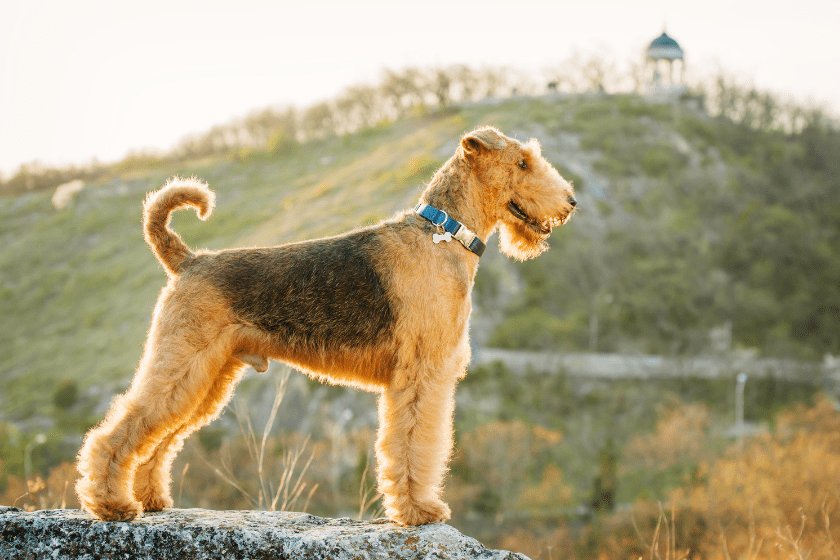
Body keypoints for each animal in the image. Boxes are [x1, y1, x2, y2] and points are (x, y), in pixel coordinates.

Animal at [75, 126, 576, 524]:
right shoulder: (421, 375)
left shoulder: (424, 375)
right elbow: (414, 443)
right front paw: (419, 511)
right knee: (114, 433)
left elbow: (412, 444)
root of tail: (188, 259)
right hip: (182, 364)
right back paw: (111, 505)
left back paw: (151, 500)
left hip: (206, 379)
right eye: (523, 162)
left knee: (158, 439)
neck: (445, 234)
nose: (570, 202)